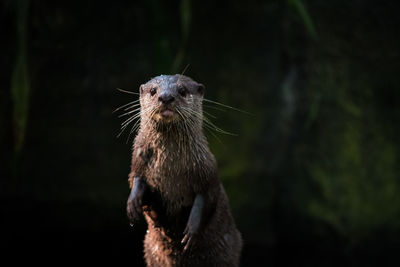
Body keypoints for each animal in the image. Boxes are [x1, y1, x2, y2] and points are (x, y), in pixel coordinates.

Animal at [126, 74, 242, 266]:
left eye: (182, 91)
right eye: (153, 91)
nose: (166, 97)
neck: (170, 169)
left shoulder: (206, 169)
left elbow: (206, 197)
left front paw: (191, 231)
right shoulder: (138, 158)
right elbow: (136, 178)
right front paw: (133, 202)